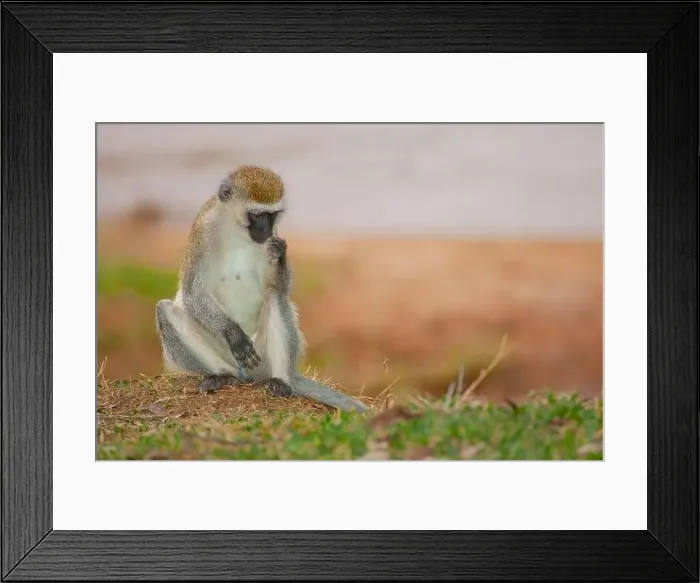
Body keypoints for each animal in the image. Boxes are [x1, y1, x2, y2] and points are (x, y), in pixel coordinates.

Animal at [155, 165, 368, 413]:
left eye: (272, 215)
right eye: (257, 215)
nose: (265, 230)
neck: (235, 227)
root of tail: (250, 376)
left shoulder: (274, 235)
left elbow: (278, 287)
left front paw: (280, 256)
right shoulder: (203, 230)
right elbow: (193, 293)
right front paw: (233, 333)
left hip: (263, 359)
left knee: (275, 297)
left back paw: (281, 382)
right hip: (229, 357)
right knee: (164, 309)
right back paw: (221, 376)